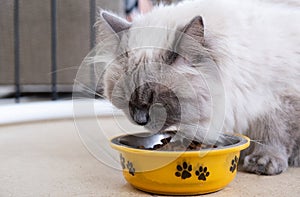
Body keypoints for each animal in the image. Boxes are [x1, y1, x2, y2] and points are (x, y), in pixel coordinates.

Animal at [92, 0, 298, 175]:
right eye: (127, 97)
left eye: (158, 99)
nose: (140, 120)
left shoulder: (279, 100)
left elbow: (273, 133)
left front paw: (263, 162)